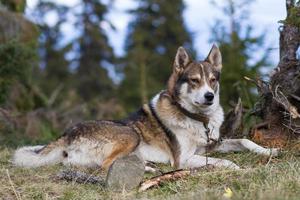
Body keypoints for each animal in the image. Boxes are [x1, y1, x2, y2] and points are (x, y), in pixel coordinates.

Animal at [12, 45, 278, 170]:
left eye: (213, 80)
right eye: (194, 81)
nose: (210, 96)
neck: (197, 118)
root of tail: (67, 134)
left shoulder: (213, 144)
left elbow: (244, 141)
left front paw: (270, 151)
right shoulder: (183, 159)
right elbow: (223, 162)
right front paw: (235, 167)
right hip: (130, 135)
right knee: (105, 165)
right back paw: (148, 169)